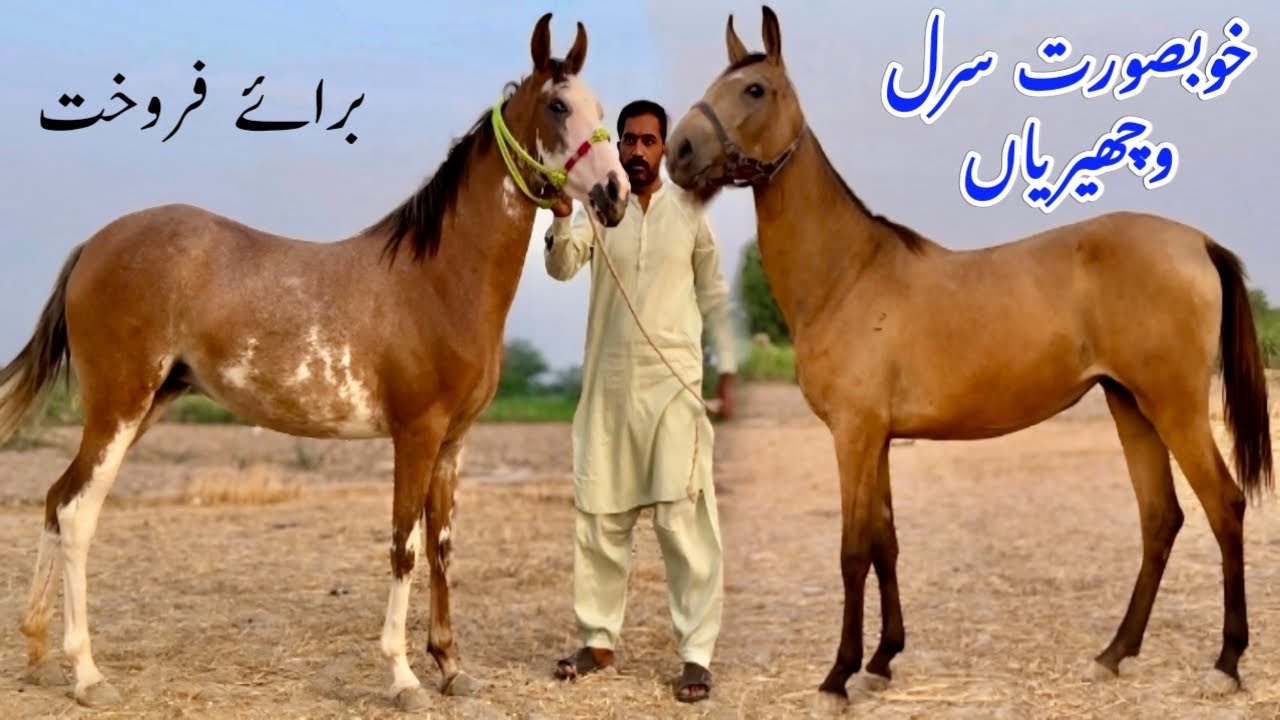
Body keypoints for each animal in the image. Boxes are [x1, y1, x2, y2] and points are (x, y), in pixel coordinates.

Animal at [0, 12, 629, 711]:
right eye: (557, 106)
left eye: (601, 108)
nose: (615, 193)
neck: (438, 278)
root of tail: (94, 244)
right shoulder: (416, 435)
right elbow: (404, 547)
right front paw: (404, 677)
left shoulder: (453, 442)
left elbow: (441, 547)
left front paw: (450, 667)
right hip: (119, 406)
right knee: (78, 514)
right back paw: (86, 673)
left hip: (143, 406)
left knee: (56, 499)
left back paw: (37, 655)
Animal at [664, 5, 1272, 707]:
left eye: (755, 90)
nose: (679, 151)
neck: (848, 273)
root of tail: (1197, 242)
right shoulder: (878, 439)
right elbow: (886, 541)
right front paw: (882, 659)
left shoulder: (854, 434)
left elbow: (852, 550)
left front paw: (839, 674)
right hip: (1131, 405)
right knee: (1160, 518)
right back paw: (1113, 654)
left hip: (1175, 407)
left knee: (1223, 506)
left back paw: (1226, 661)